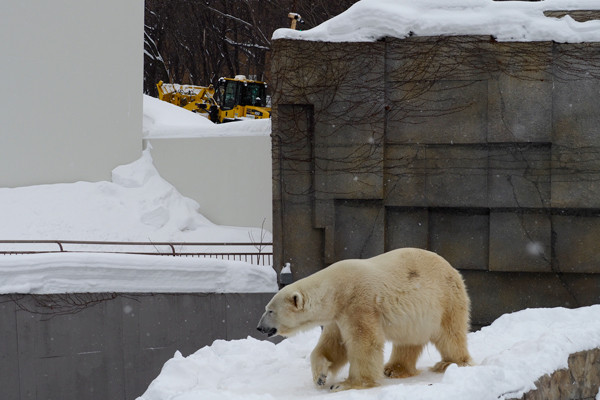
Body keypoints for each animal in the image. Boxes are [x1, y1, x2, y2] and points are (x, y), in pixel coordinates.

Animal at [256, 247, 474, 390]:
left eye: (270, 311)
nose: (259, 327)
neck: (336, 290)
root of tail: (453, 270)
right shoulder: (338, 315)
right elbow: (333, 345)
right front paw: (320, 375)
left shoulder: (358, 303)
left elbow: (364, 343)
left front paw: (347, 384)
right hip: (417, 316)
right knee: (408, 341)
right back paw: (393, 369)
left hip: (445, 300)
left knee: (450, 334)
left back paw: (450, 363)